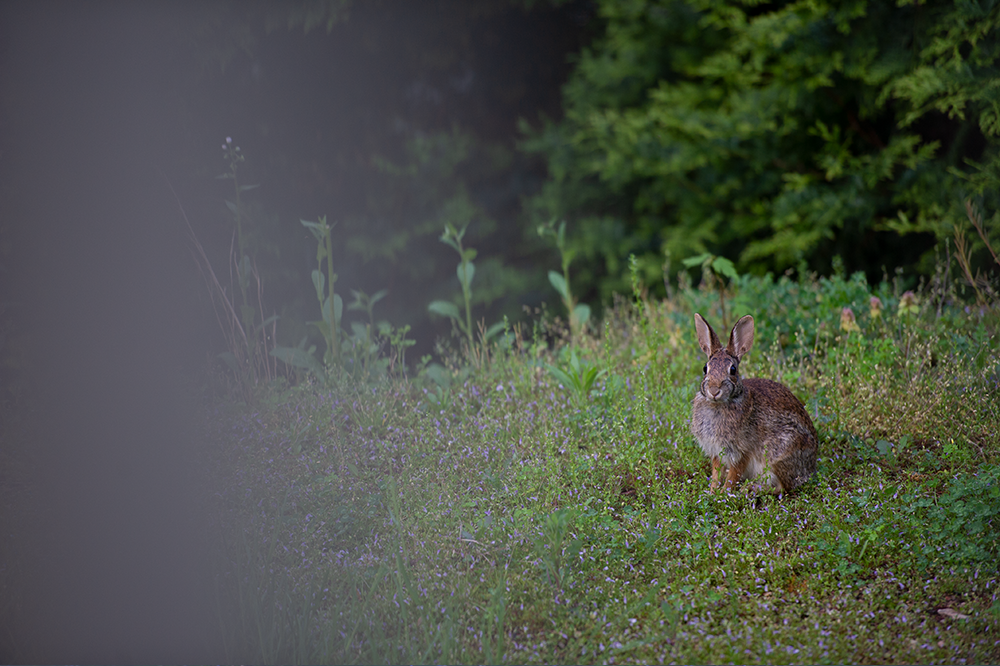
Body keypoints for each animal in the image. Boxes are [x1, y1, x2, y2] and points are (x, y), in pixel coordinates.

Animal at [690, 313, 818, 494]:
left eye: (733, 370)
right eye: (705, 369)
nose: (714, 390)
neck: (720, 404)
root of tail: (810, 468)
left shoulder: (742, 451)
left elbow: (733, 475)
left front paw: (724, 494)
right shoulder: (716, 451)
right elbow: (716, 472)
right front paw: (712, 492)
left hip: (778, 454)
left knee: (783, 488)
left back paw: (749, 490)